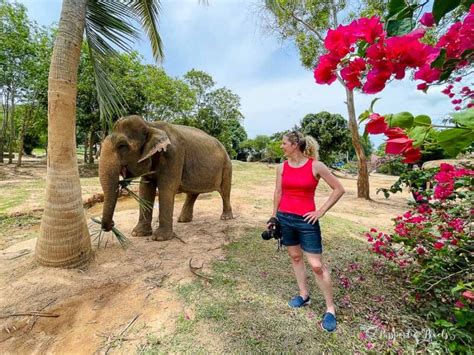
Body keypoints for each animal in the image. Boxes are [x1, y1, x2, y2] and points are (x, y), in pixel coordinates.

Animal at [98, 115, 233, 241]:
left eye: (122, 146)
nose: (111, 224)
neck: (150, 125)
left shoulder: (173, 155)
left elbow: (166, 187)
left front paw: (159, 238)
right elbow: (145, 188)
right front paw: (138, 234)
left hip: (227, 165)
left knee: (225, 191)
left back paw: (226, 217)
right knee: (192, 193)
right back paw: (182, 220)